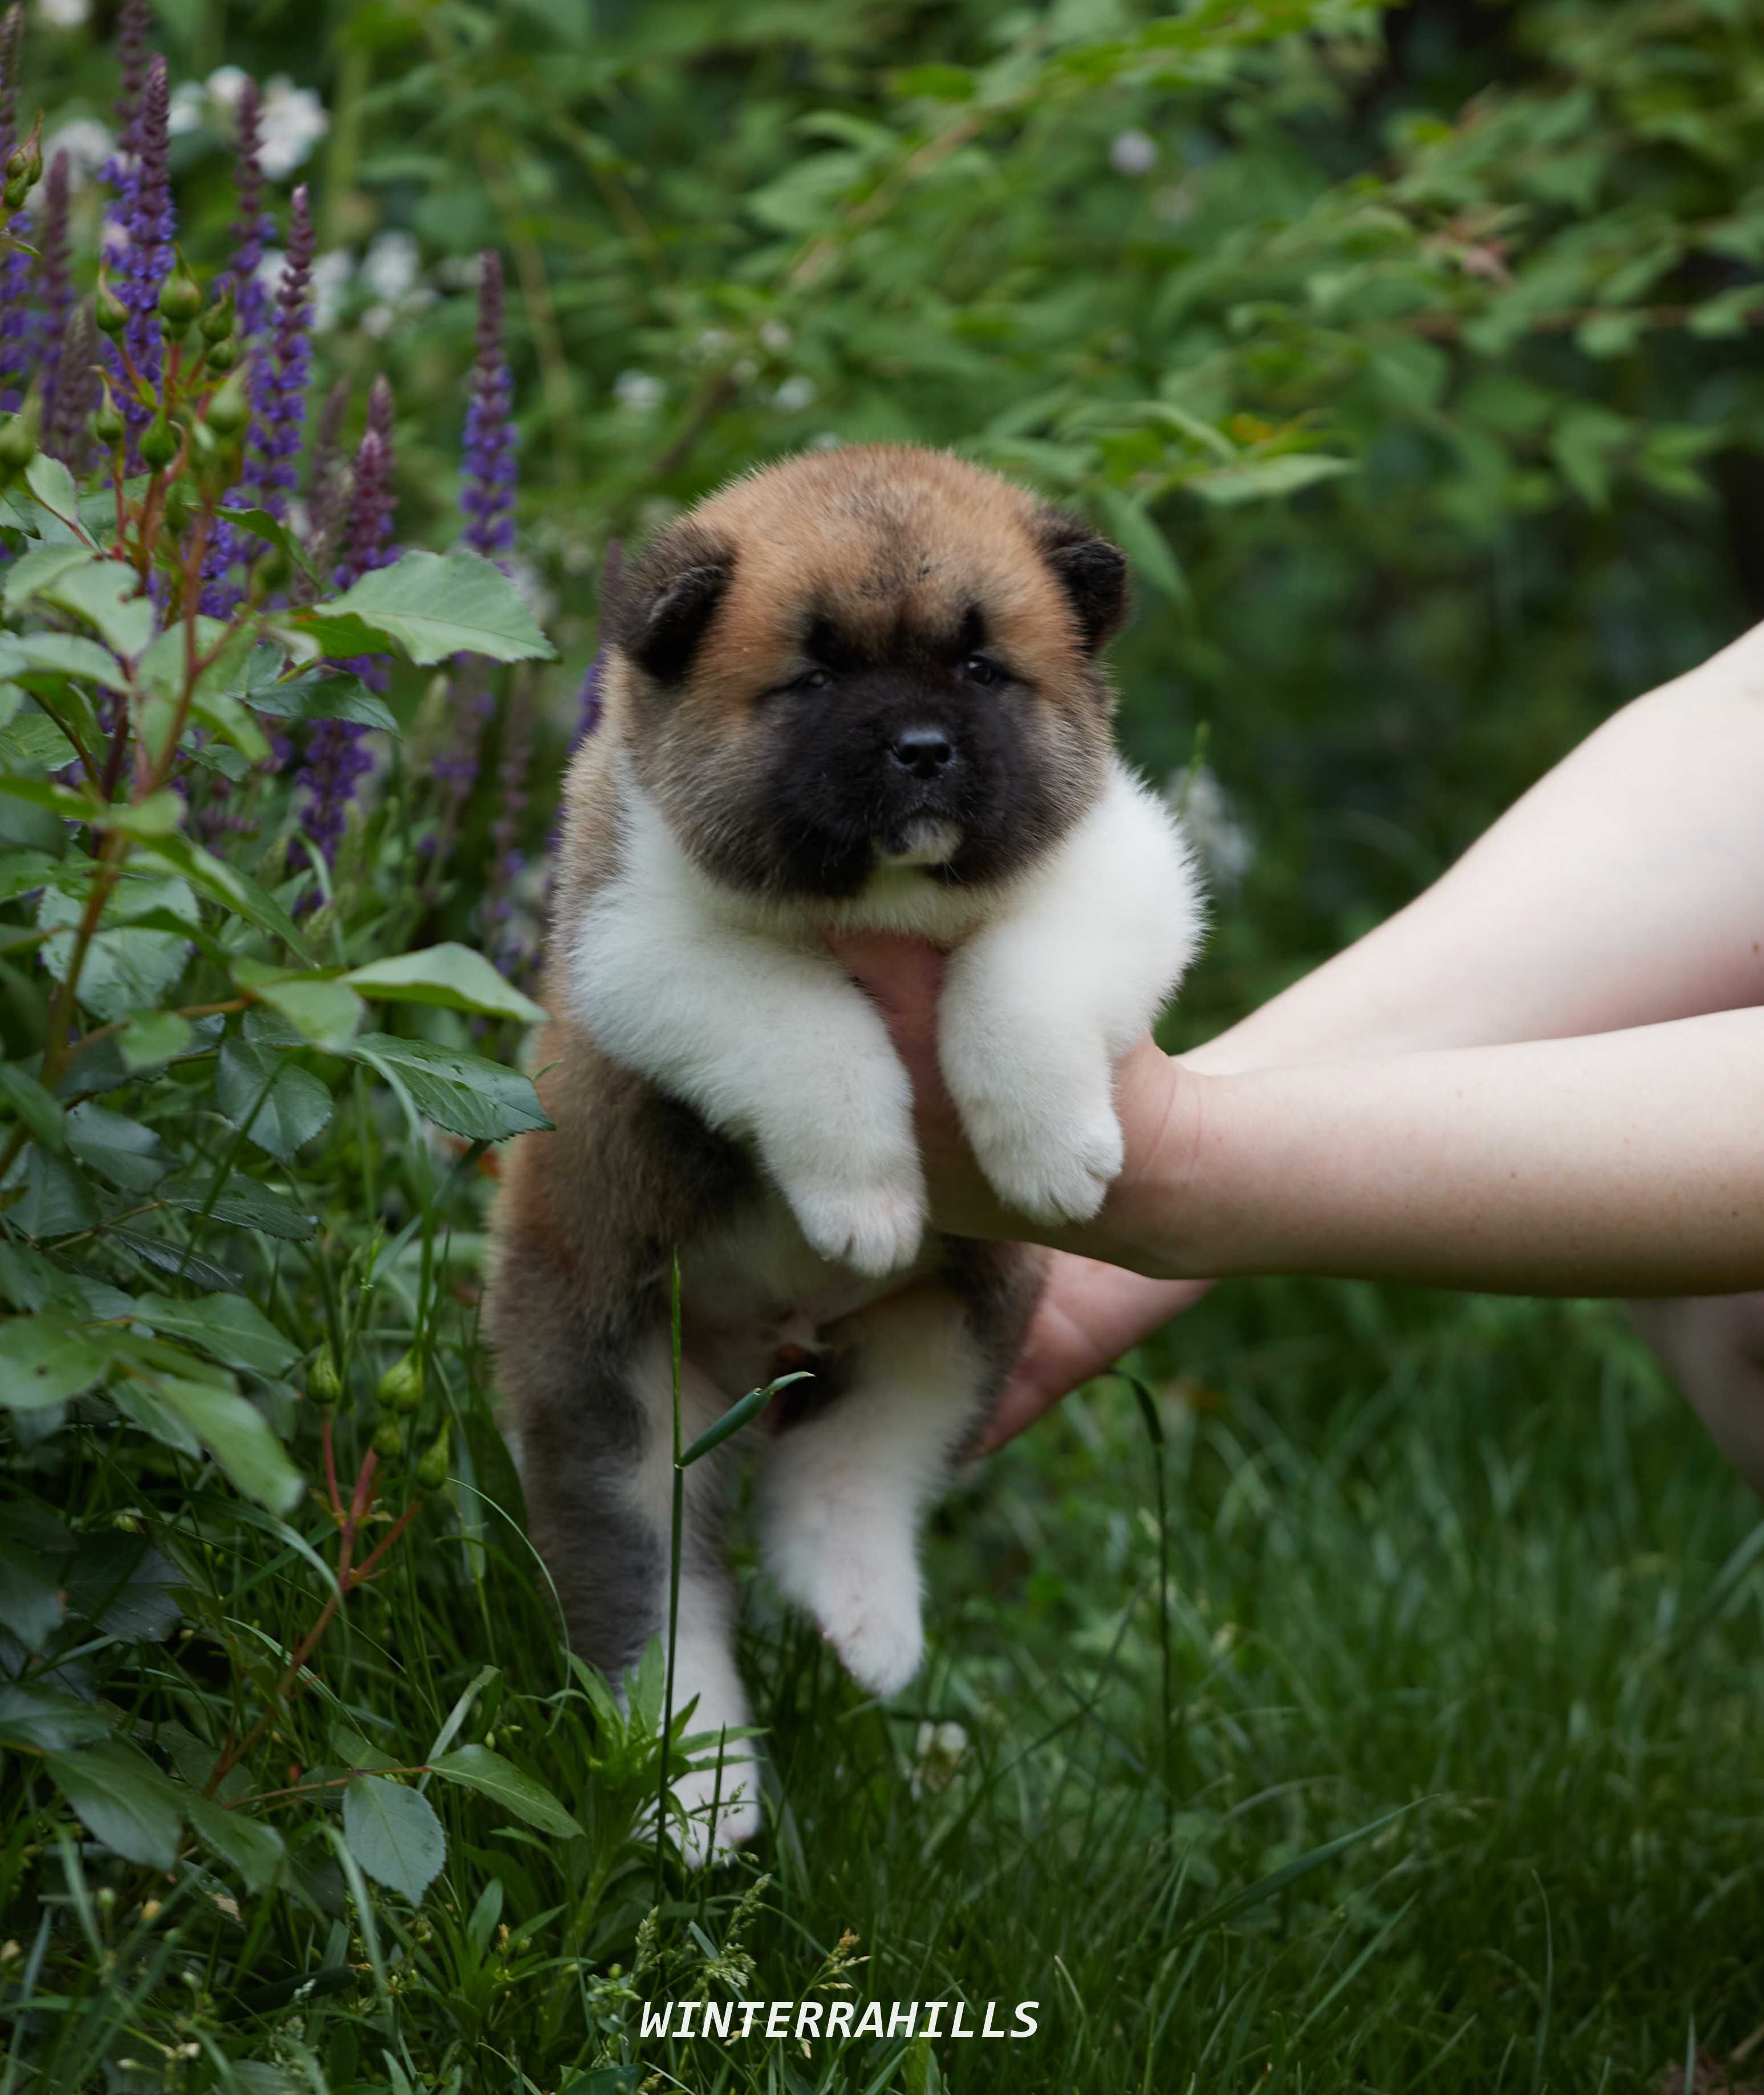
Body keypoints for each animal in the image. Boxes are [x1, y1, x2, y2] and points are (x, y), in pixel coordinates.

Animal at [481, 450, 1206, 1860]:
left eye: (981, 668)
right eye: (811, 679)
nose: (922, 750)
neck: (883, 902)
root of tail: (768, 1352)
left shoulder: (1116, 860)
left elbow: (1020, 972)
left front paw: (1046, 1142)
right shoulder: (636, 939)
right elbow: (806, 1024)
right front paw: (866, 1191)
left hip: (967, 1320)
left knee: (863, 1459)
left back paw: (860, 1608)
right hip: (613, 1396)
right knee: (652, 1596)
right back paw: (696, 1793)